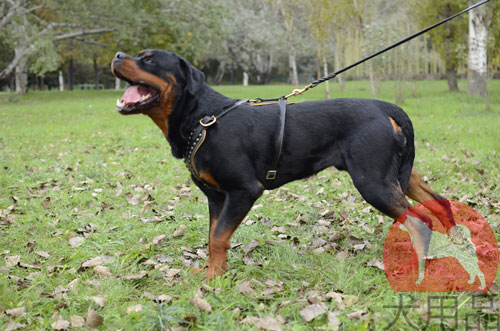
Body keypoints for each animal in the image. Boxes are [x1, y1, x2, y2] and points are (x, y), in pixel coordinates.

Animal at [110, 49, 460, 280]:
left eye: (149, 59)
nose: (116, 55)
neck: (203, 118)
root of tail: (388, 108)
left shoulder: (243, 191)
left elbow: (219, 237)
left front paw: (213, 282)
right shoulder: (216, 197)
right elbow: (211, 237)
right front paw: (213, 274)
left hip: (372, 180)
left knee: (418, 221)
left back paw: (417, 266)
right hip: (397, 174)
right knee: (439, 201)